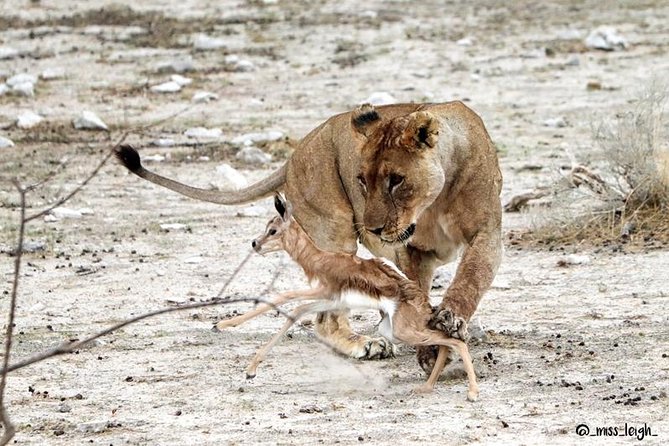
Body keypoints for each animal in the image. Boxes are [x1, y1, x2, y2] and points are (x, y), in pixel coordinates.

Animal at [217, 195, 478, 400]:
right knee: (447, 339)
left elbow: (287, 298)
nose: (255, 243)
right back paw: (426, 388)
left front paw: (227, 332)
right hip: (391, 331)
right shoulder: (331, 300)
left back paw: (472, 393)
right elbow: (295, 308)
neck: (319, 259)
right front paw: (244, 360)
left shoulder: (323, 292)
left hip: (404, 331)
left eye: (273, 230)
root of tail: (425, 307)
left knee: (455, 341)